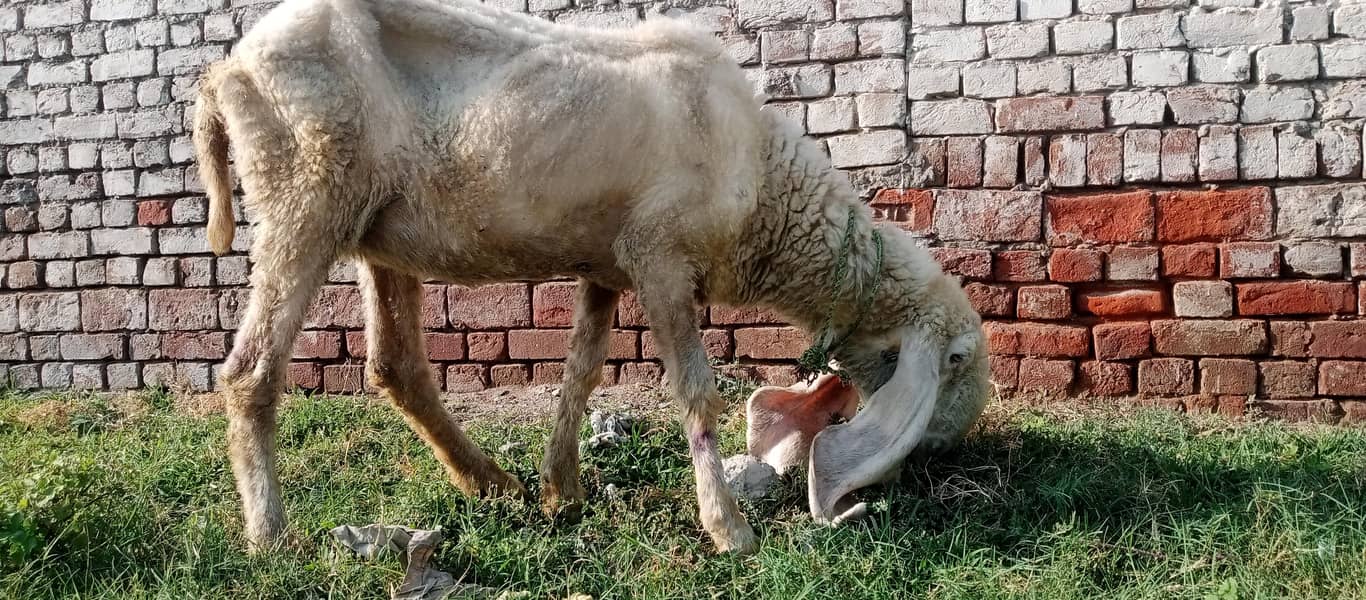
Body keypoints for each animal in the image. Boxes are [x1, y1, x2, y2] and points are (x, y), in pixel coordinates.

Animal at [193, 0, 990, 555]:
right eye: (955, 360)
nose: (946, 453)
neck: (768, 189)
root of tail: (222, 70)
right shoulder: (661, 254)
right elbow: (695, 392)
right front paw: (729, 529)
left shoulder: (606, 263)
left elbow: (581, 373)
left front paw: (562, 489)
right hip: (303, 195)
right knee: (250, 371)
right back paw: (270, 534)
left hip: (377, 232)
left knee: (397, 367)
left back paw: (493, 484)